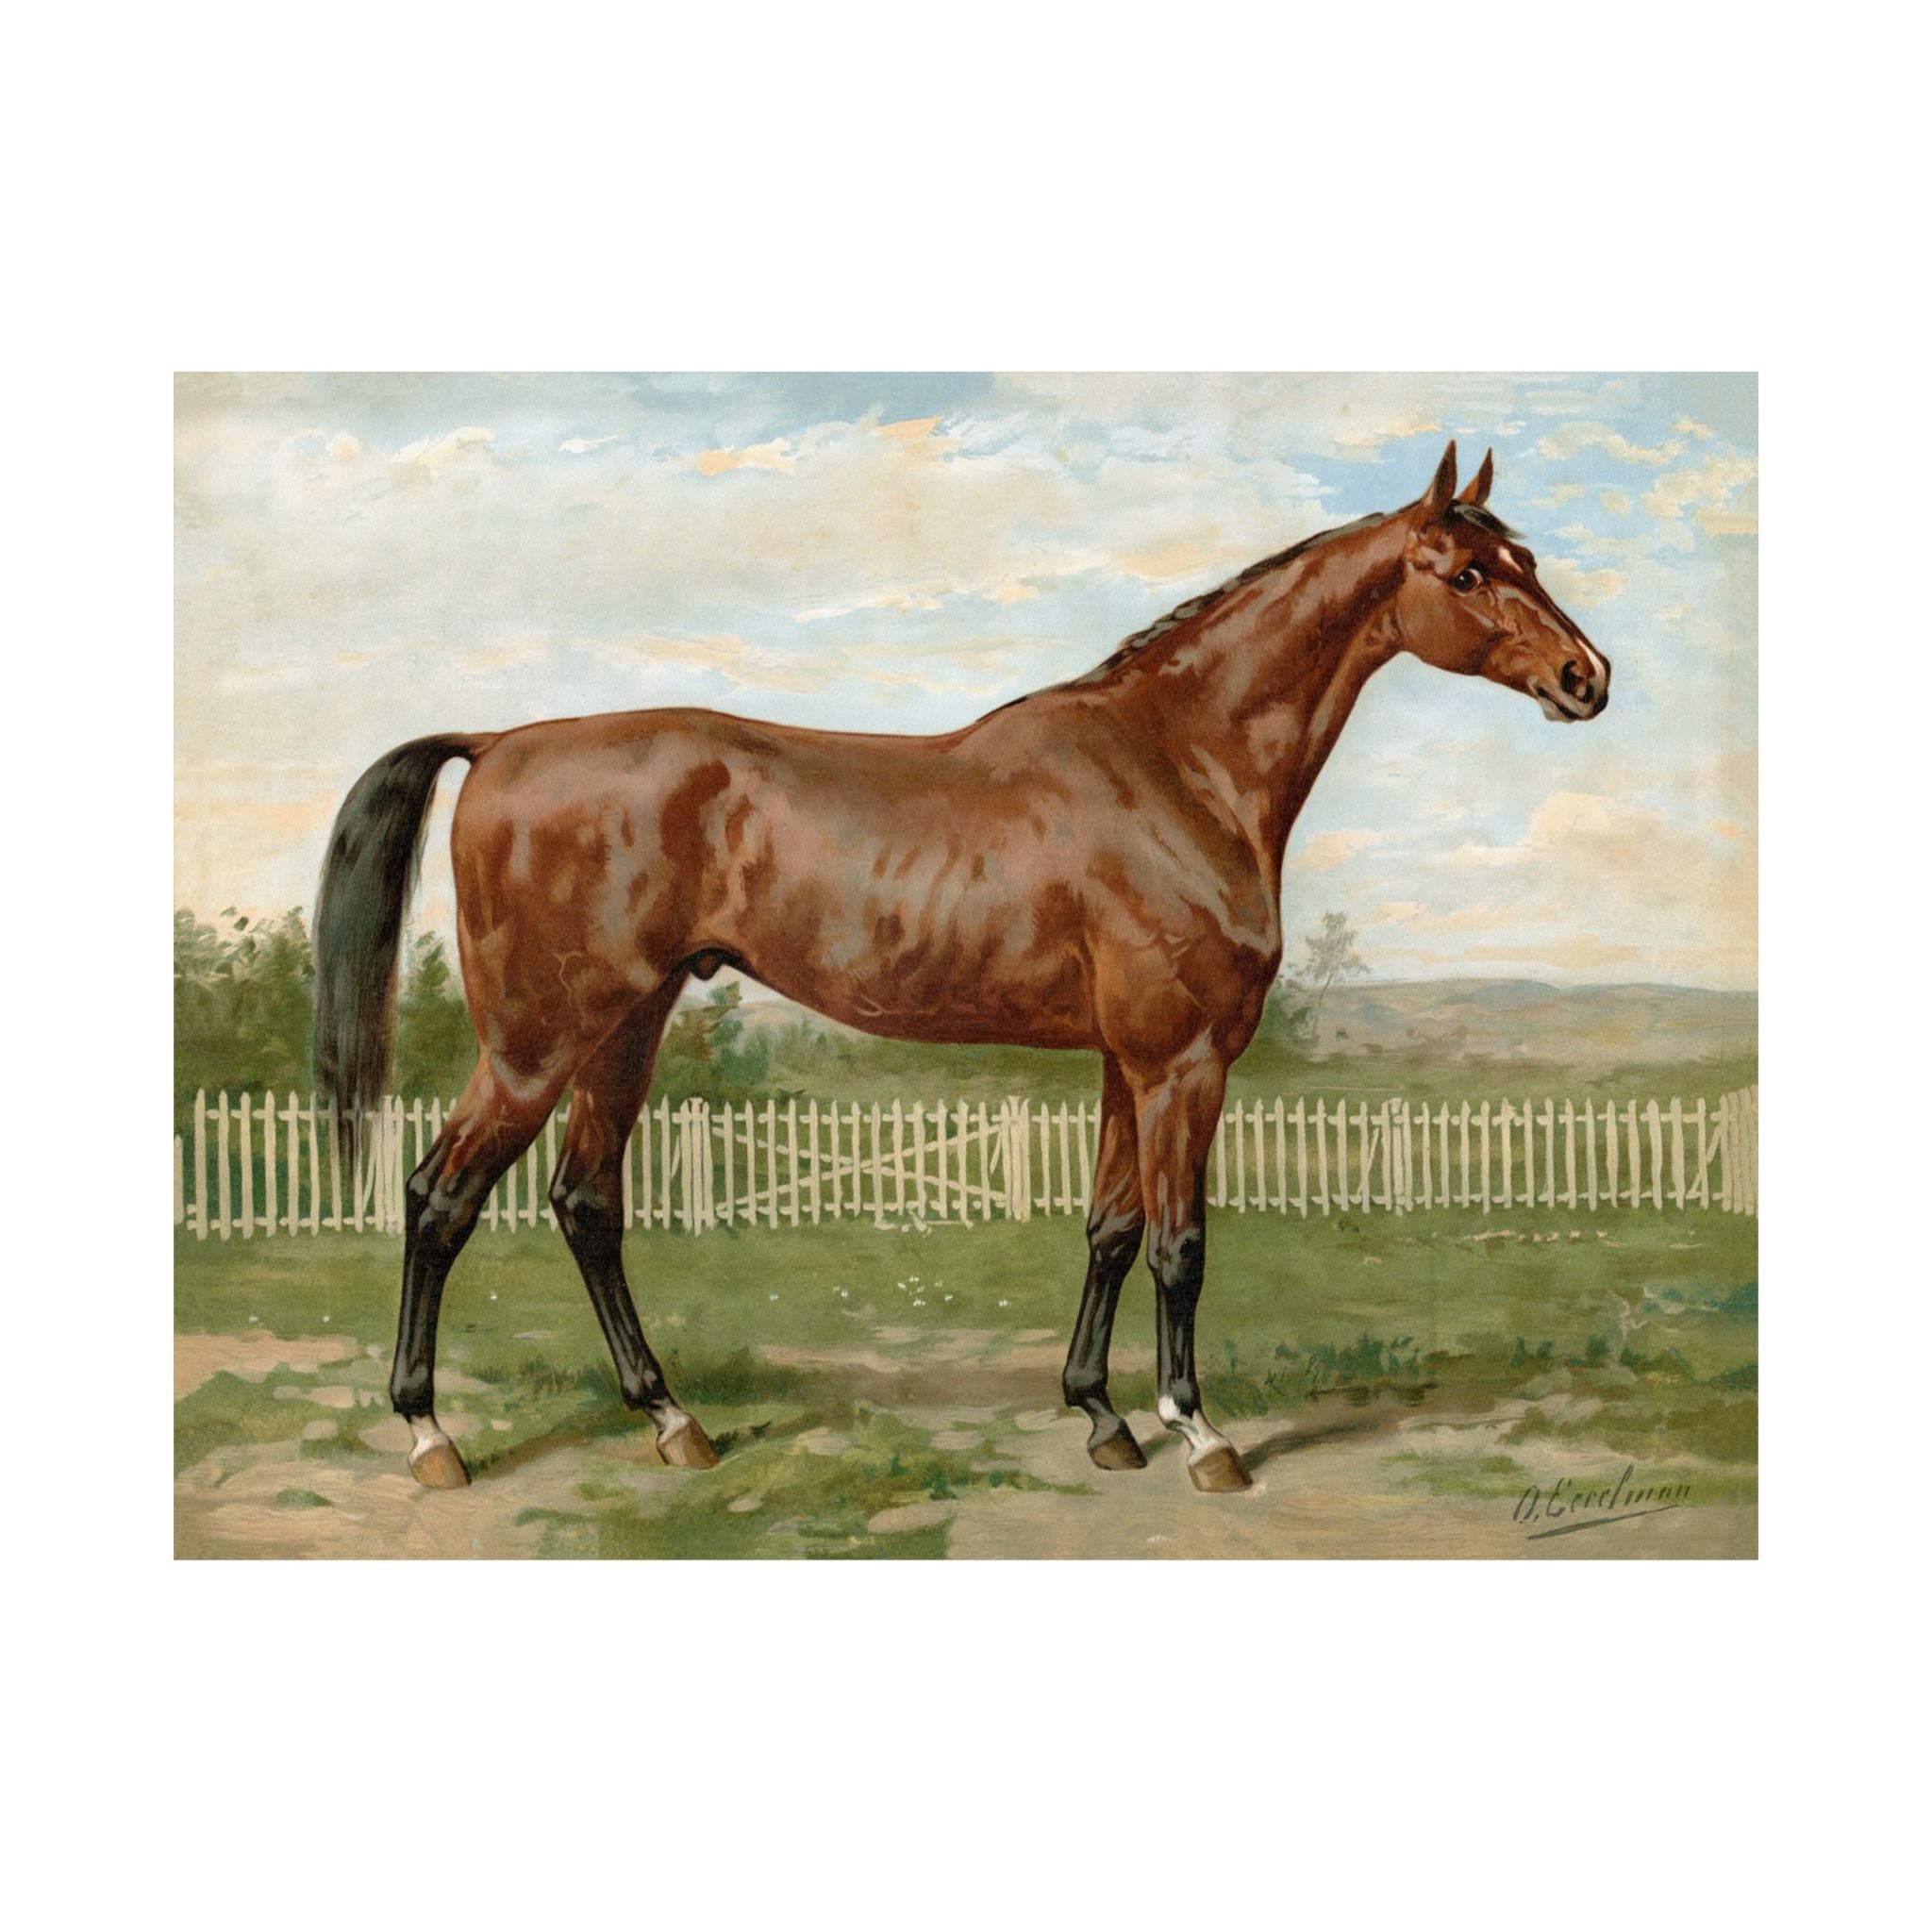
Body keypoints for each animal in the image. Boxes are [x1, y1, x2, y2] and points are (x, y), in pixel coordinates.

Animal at [312, 440, 1609, 1495]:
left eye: (1526, 555)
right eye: (1463, 572)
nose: (1585, 678)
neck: (1176, 763)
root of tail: (497, 743)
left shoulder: (1124, 1062)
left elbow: (1110, 1228)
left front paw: (1100, 1417)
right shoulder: (1182, 1061)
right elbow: (1181, 1246)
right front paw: (1197, 1433)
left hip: (625, 1028)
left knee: (585, 1204)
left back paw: (672, 1420)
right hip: (535, 1043)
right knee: (439, 1197)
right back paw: (431, 1436)